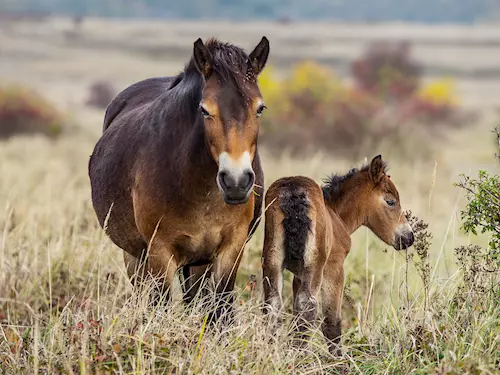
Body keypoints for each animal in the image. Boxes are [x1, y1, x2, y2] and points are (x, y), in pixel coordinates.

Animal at [88, 37, 272, 318]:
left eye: (260, 108)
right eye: (205, 110)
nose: (236, 182)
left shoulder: (231, 249)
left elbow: (220, 310)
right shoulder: (160, 253)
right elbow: (160, 306)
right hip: (136, 256)